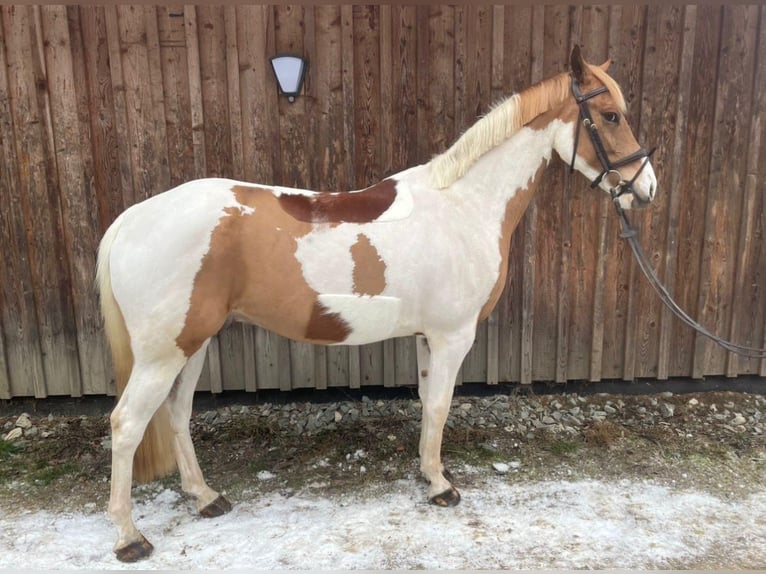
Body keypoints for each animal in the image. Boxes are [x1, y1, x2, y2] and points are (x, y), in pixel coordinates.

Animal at [97, 46, 657, 562]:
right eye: (611, 115)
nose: (646, 189)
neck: (464, 206)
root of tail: (132, 219)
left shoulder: (428, 337)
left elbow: (429, 404)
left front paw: (430, 476)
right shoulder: (453, 337)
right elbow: (441, 405)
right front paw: (442, 487)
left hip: (193, 344)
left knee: (176, 413)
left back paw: (205, 497)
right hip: (166, 352)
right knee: (126, 425)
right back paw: (129, 537)